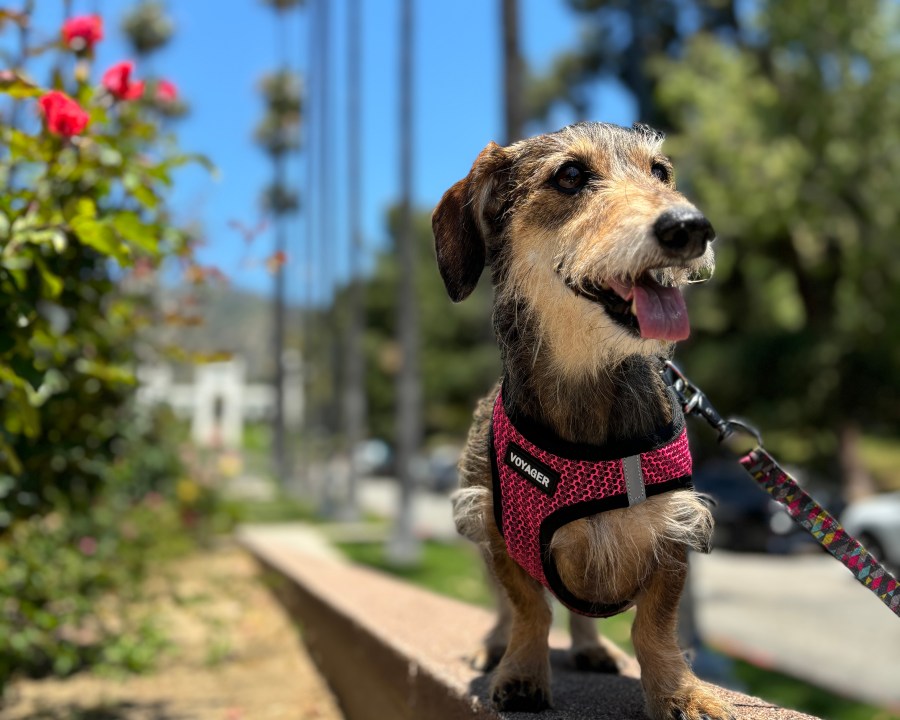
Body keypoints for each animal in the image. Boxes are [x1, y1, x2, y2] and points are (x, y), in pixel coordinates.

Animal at [432, 121, 736, 716]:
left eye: (660, 171)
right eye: (570, 175)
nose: (690, 227)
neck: (588, 380)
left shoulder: (675, 527)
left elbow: (654, 625)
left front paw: (679, 691)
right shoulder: (499, 532)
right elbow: (528, 608)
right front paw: (521, 673)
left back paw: (594, 648)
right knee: (510, 609)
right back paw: (493, 646)